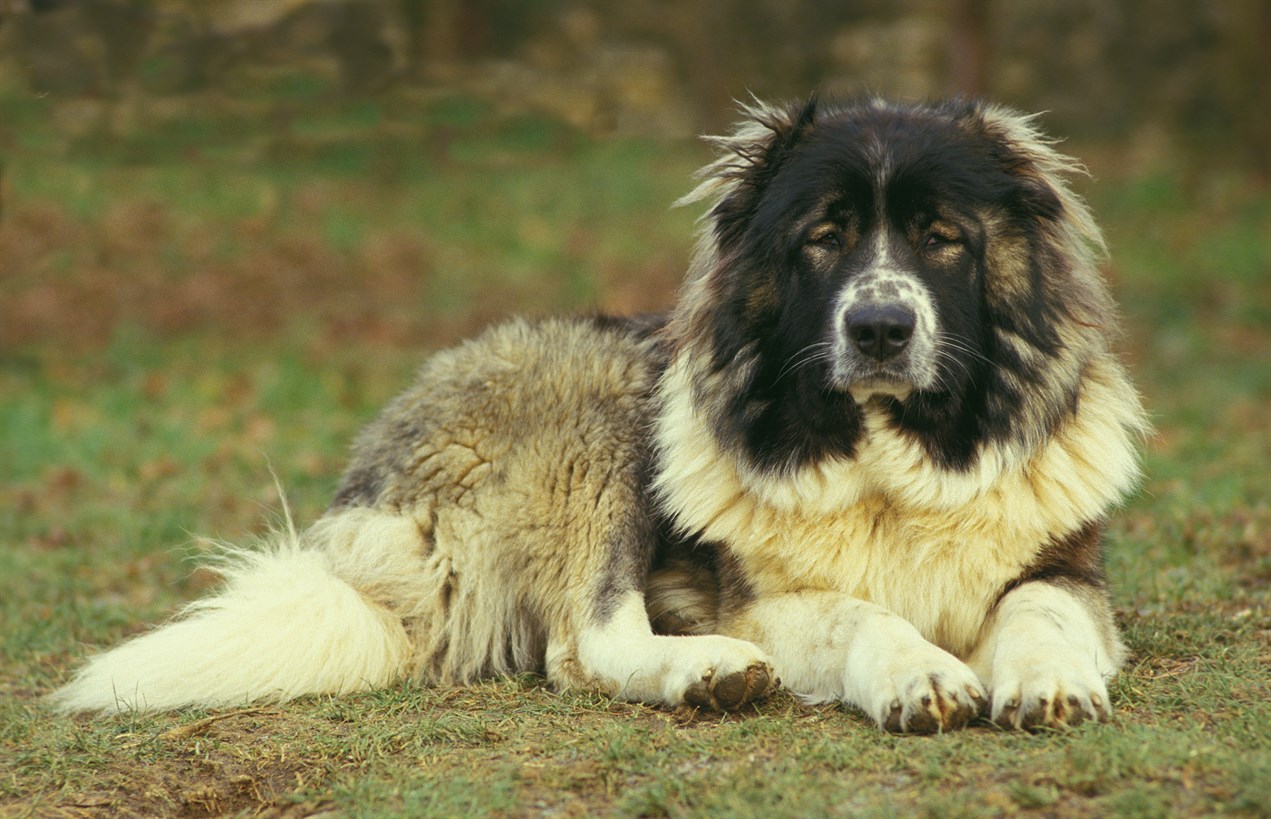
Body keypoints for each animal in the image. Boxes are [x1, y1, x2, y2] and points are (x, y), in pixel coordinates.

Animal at [49, 96, 1148, 727]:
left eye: (940, 236)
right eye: (825, 237)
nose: (878, 327)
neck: (883, 460)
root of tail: (368, 492)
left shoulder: (1064, 569)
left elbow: (1040, 611)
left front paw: (1046, 683)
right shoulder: (760, 597)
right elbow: (856, 614)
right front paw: (918, 674)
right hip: (605, 406)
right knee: (586, 644)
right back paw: (707, 674)